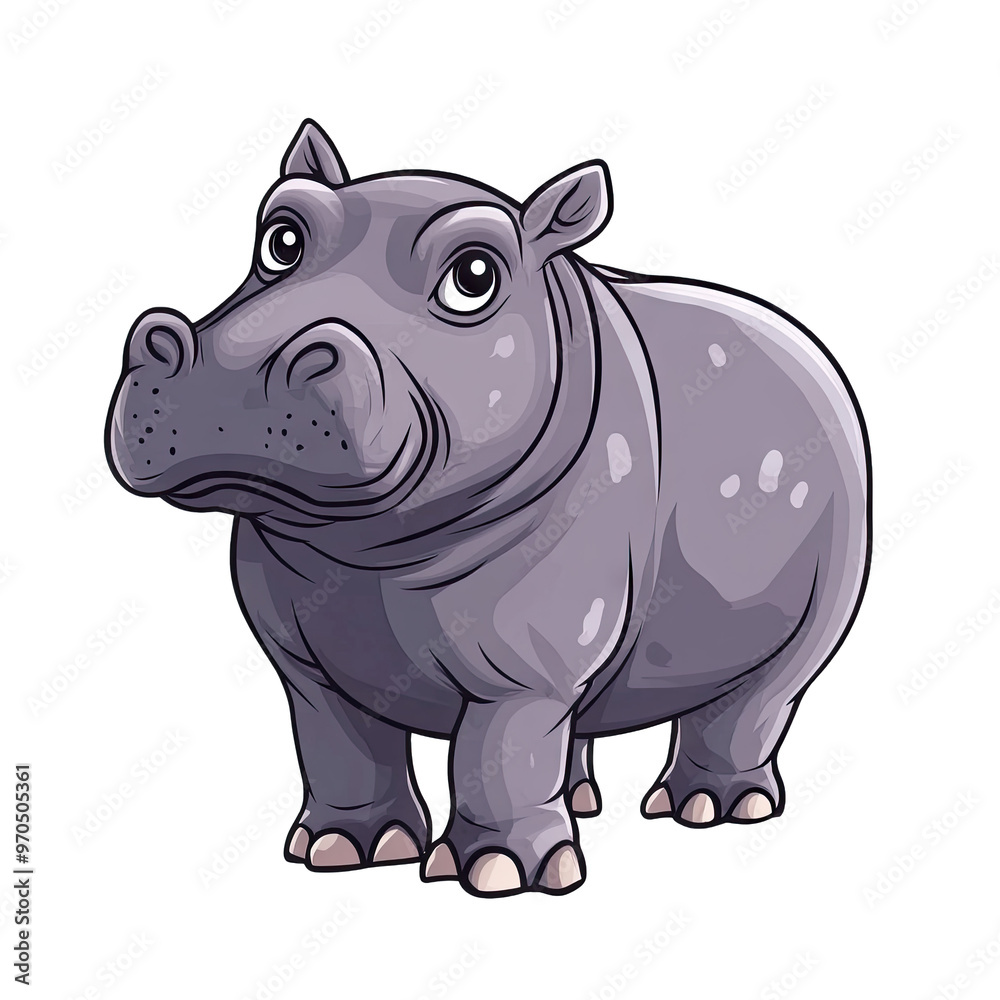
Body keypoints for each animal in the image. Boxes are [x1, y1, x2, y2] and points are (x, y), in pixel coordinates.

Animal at [105, 119, 871, 898]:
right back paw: (584, 802)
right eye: (280, 237)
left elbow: (498, 755)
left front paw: (503, 874)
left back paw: (712, 808)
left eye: (474, 276)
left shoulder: (525, 664)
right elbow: (341, 746)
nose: (231, 371)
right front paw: (341, 849)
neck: (368, 552)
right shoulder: (304, 663)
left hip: (833, 578)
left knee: (761, 696)